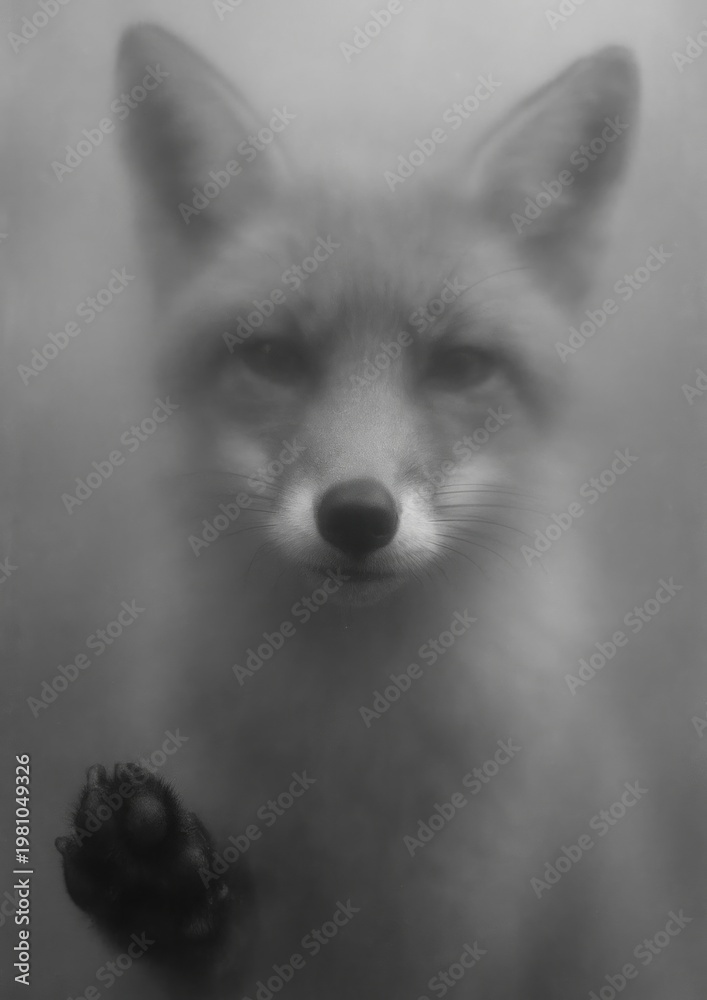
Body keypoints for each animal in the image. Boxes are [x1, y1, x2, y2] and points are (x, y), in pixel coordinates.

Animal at [54, 23, 700, 1000]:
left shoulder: (460, 933)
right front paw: (159, 898)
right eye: (272, 357)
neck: (346, 743)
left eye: (459, 366)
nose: (357, 517)